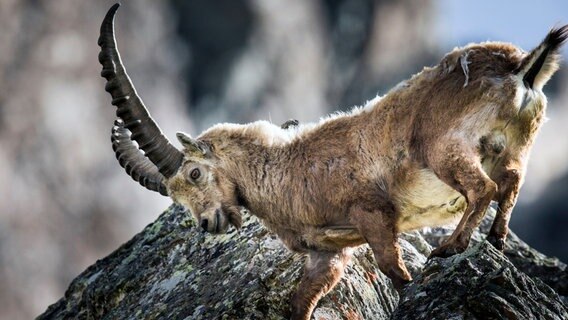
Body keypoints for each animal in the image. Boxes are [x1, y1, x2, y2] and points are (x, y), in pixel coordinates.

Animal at [100, 3, 564, 318]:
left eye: (195, 172)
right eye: (176, 199)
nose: (208, 224)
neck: (285, 166)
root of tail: (520, 67)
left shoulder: (373, 213)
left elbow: (393, 269)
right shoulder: (327, 254)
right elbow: (301, 301)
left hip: (445, 150)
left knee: (483, 187)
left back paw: (451, 246)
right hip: (512, 145)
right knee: (510, 182)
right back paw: (497, 240)